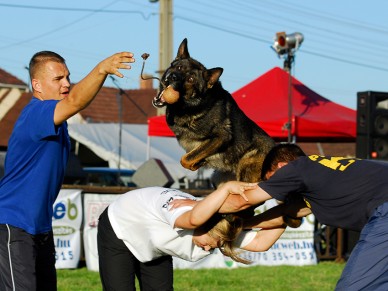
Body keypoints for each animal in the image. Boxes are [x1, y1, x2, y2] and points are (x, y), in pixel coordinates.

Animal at [152, 38, 276, 186]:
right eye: (179, 67)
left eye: (191, 80)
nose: (173, 77)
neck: (191, 107)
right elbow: (189, 158)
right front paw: (198, 163)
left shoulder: (221, 137)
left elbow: (185, 159)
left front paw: (197, 163)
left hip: (246, 167)